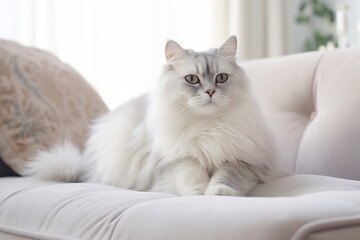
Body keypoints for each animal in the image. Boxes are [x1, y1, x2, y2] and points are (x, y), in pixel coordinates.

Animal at [25, 36, 288, 197]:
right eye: (192, 79)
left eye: (221, 78)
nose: (210, 92)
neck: (207, 127)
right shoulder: (178, 161)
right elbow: (193, 177)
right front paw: (199, 194)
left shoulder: (241, 162)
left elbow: (224, 178)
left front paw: (216, 193)